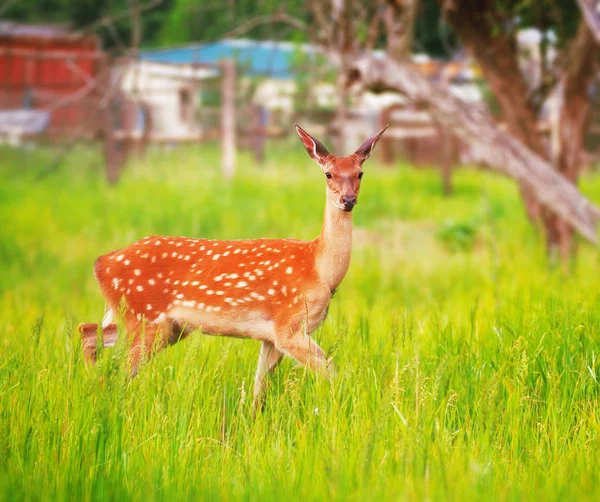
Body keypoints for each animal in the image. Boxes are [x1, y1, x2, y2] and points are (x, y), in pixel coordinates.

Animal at [78, 123, 390, 410]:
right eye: (328, 174)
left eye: (360, 173)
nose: (348, 200)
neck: (319, 269)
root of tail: (101, 264)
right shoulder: (288, 327)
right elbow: (335, 374)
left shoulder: (271, 337)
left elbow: (258, 393)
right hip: (146, 317)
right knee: (119, 369)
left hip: (163, 325)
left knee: (88, 331)